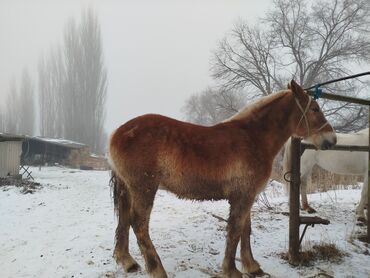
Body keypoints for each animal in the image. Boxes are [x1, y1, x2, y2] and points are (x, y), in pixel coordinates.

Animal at [108, 79, 336, 276]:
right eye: (315, 109)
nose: (332, 140)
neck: (254, 138)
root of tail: (117, 133)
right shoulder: (243, 196)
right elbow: (235, 230)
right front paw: (231, 270)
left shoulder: (247, 196)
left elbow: (245, 229)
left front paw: (251, 266)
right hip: (144, 188)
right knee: (139, 223)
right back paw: (157, 270)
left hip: (128, 188)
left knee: (124, 218)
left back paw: (128, 261)